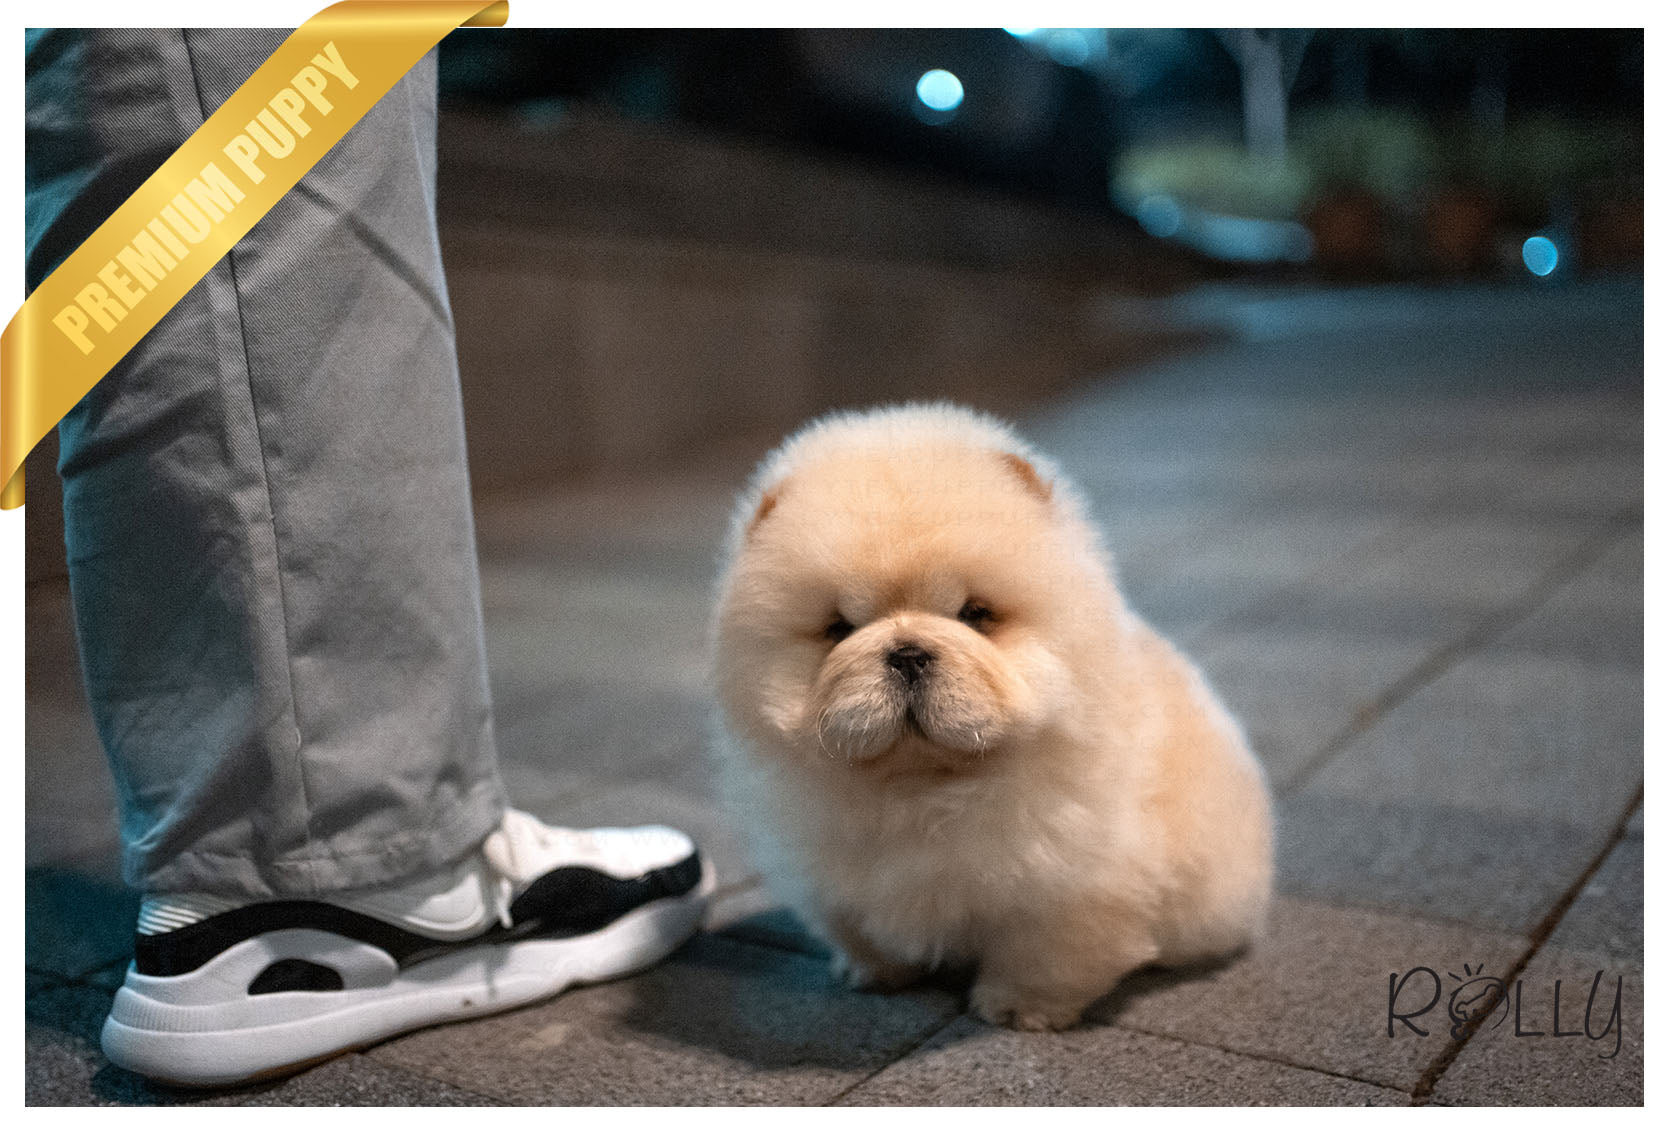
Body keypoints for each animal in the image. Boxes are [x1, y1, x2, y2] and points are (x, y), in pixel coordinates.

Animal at [711, 404, 1269, 1035]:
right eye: (839, 628)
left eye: (975, 615)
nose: (907, 652)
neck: (921, 788)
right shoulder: (826, 869)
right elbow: (858, 929)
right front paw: (875, 974)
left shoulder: (1066, 889)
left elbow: (1040, 956)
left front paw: (1019, 1009)